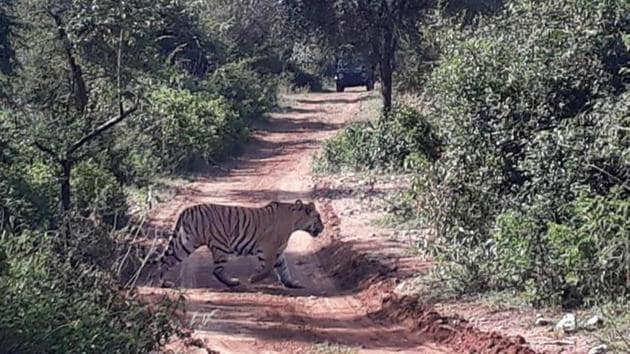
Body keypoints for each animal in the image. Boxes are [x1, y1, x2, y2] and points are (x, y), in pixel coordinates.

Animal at [154, 199, 326, 288]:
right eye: (318, 217)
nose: (323, 227)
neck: (294, 221)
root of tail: (187, 210)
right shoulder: (268, 249)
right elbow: (268, 268)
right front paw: (254, 278)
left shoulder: (278, 251)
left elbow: (284, 269)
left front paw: (292, 283)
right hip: (220, 245)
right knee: (217, 270)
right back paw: (232, 282)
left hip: (186, 243)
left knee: (167, 259)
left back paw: (163, 282)